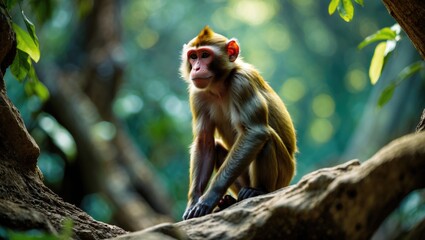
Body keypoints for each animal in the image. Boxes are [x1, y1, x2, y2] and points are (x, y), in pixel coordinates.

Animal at [179, 25, 294, 219]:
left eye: (205, 55)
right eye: (193, 56)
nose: (196, 68)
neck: (220, 86)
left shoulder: (242, 82)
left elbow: (254, 132)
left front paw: (208, 198)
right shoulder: (197, 94)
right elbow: (204, 141)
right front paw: (194, 201)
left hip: (284, 176)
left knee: (267, 138)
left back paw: (258, 190)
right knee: (217, 148)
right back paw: (229, 201)